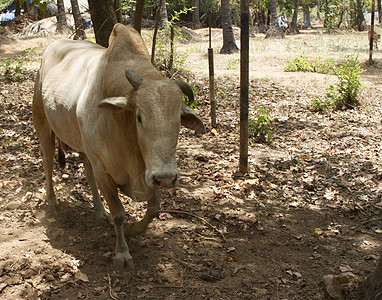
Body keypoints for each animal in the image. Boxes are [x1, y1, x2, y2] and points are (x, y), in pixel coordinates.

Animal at [32, 23, 206, 270]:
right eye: (139, 117)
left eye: (179, 119)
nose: (166, 178)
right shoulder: (105, 171)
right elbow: (119, 213)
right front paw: (122, 253)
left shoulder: (146, 172)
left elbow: (154, 209)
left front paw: (133, 229)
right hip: (42, 122)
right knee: (47, 161)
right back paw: (52, 201)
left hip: (85, 148)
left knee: (87, 172)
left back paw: (98, 210)